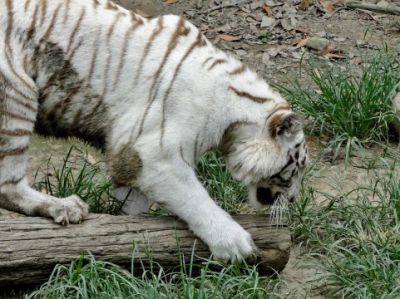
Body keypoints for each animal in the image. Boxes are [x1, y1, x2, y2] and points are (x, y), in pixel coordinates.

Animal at [0, 0, 306, 262]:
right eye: (296, 168)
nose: (293, 200)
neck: (236, 120)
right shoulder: (153, 155)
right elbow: (195, 199)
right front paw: (234, 243)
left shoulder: (129, 154)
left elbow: (134, 202)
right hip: (17, 94)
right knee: (7, 185)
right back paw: (65, 206)